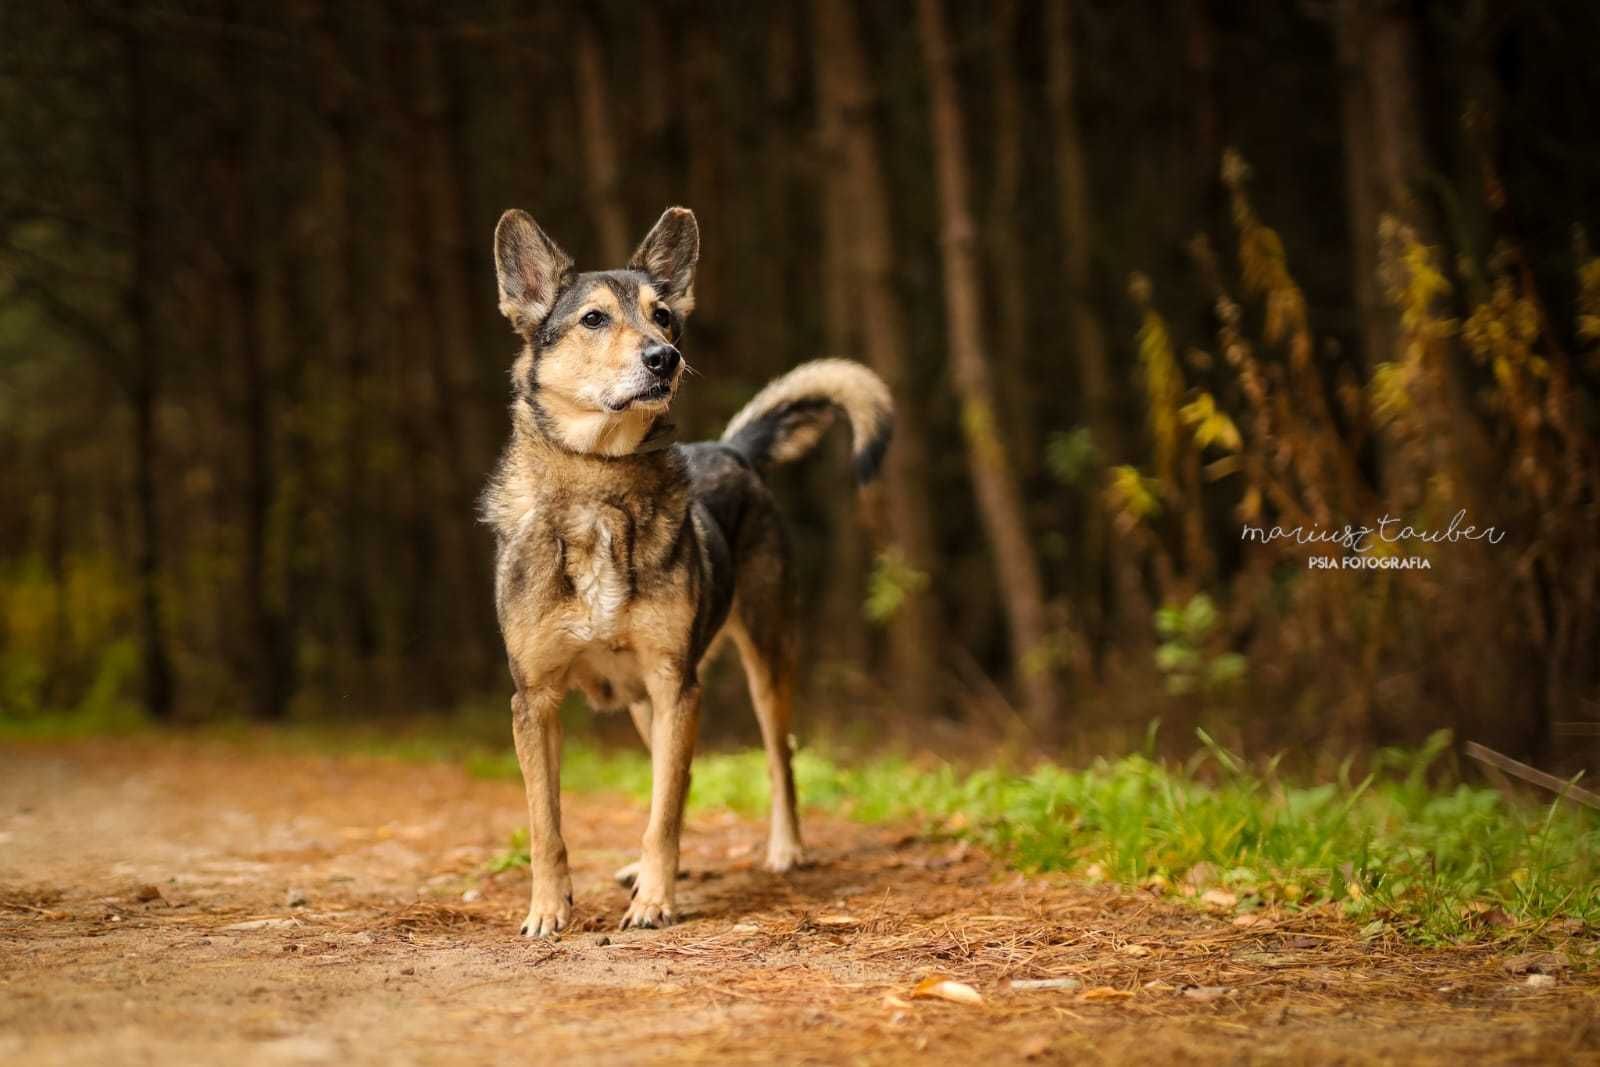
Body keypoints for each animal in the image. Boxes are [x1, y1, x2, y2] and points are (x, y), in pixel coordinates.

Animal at [480, 202, 896, 934]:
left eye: (664, 316)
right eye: (594, 319)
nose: (665, 357)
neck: (600, 483)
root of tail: (732, 448)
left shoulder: (677, 683)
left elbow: (665, 813)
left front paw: (656, 898)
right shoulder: (536, 699)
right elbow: (546, 823)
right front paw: (548, 909)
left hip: (763, 663)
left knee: (776, 761)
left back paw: (783, 849)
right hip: (649, 703)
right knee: (671, 777)